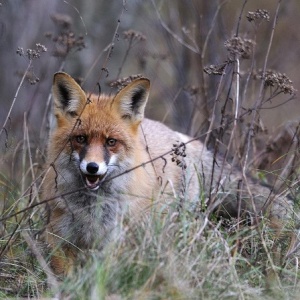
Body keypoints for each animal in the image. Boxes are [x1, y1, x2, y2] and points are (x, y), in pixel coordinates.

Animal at [43, 71, 292, 276]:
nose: (92, 167)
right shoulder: (59, 238)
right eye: (80, 138)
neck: (91, 208)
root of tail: (182, 138)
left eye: (111, 142)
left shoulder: (114, 241)